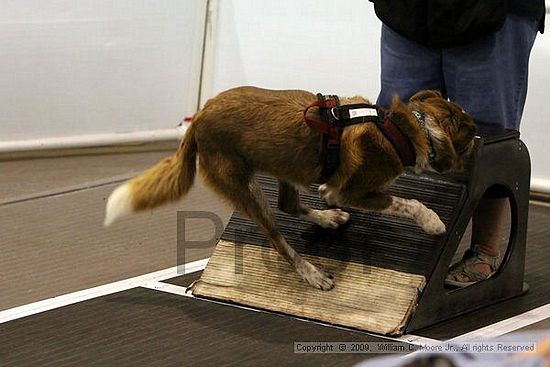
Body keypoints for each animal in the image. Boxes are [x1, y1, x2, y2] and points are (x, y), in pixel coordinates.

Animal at [104, 86, 478, 290]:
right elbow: (408, 202)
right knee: (279, 240)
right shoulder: (354, 191)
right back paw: (313, 273)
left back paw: (328, 219)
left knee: (288, 205)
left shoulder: (334, 190)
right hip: (247, 191)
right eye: (469, 133)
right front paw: (433, 222)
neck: (403, 129)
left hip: (283, 168)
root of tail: (197, 119)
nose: (479, 139)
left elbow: (330, 194)